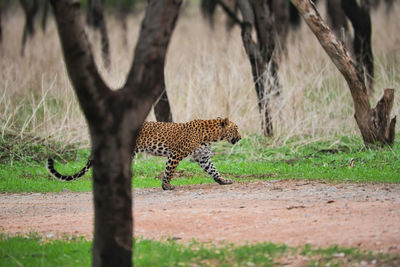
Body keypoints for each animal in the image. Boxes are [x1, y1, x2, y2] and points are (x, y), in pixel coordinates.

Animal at [47, 118, 241, 191]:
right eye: (236, 128)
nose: (240, 137)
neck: (211, 136)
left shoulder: (203, 158)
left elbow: (214, 170)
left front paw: (223, 181)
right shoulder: (176, 154)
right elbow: (169, 171)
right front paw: (166, 186)